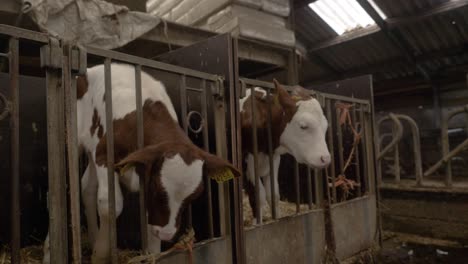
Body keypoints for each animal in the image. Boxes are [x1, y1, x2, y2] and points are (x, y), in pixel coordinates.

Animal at [41, 63, 239, 262]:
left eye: (194, 196)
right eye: (158, 190)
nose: (167, 234)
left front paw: (153, 254)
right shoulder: (104, 156)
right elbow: (109, 204)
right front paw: (101, 255)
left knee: (87, 188)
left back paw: (92, 238)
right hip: (74, 140)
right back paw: (50, 253)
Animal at [239, 80, 330, 219]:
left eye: (326, 126)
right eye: (303, 126)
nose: (325, 159)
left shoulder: (274, 158)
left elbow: (273, 195)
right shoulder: (248, 161)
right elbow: (258, 197)